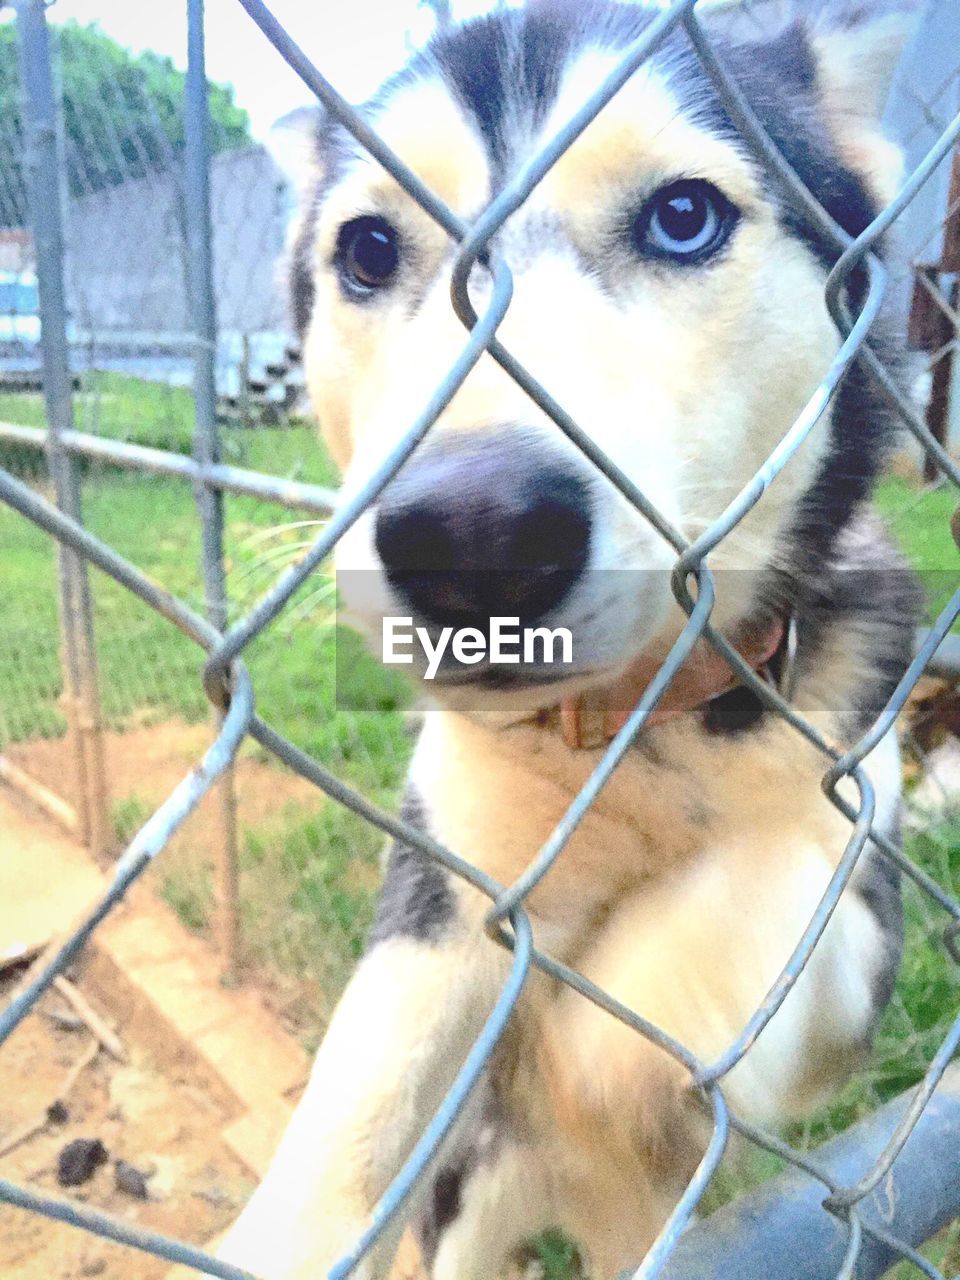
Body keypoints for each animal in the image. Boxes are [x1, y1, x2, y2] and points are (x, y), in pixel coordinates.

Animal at [217, 2, 926, 1280]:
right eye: (369, 250)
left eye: (685, 215)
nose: (473, 533)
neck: (638, 731)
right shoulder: (450, 880)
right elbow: (369, 1076)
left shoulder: (857, 911)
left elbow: (733, 906)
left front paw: (588, 1050)